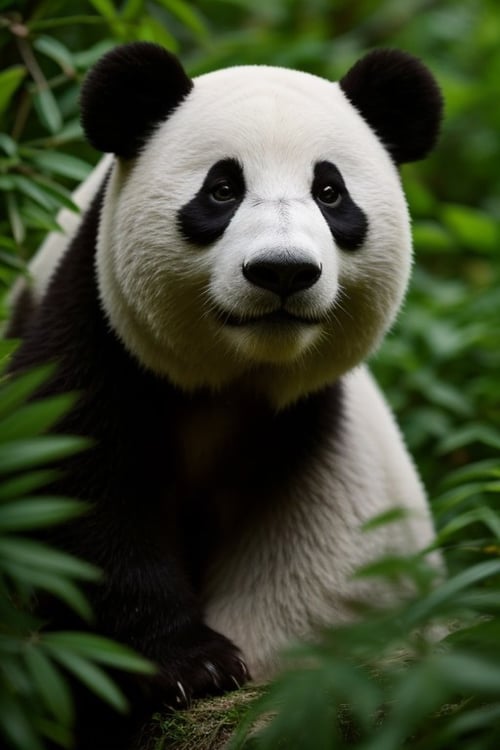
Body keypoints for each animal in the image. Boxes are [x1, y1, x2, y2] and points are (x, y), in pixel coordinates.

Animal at [8, 42, 442, 747]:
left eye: (330, 192)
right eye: (222, 189)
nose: (282, 271)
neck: (237, 374)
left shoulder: (309, 433)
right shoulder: (99, 324)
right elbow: (72, 489)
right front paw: (193, 668)